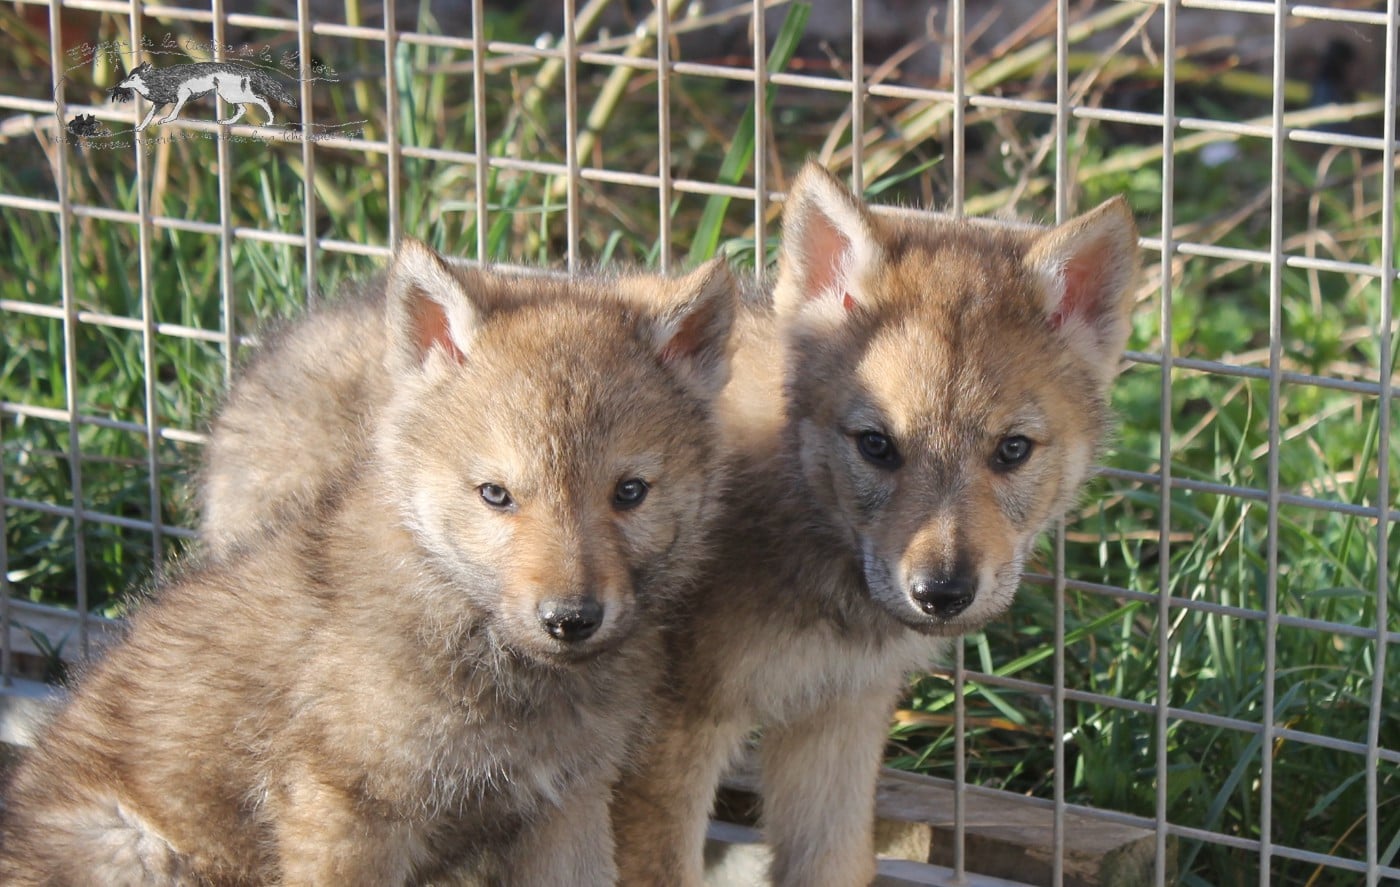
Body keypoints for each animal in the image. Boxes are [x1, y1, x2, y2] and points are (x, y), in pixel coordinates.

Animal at [0, 241, 738, 885]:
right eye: (496, 494)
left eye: (630, 492)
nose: (571, 618)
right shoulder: (347, 811)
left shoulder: (569, 803)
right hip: (134, 847)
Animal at [113, 61, 298, 130]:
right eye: (128, 75)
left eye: (132, 78)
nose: (119, 85)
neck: (156, 80)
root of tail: (247, 70)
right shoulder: (158, 103)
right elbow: (148, 116)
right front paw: (140, 127)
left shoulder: (183, 94)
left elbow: (175, 111)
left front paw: (167, 119)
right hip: (229, 95)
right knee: (243, 110)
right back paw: (226, 122)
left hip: (231, 95)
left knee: (261, 100)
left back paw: (270, 121)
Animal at [609, 162, 1141, 886]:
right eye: (877, 445)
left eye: (1012, 449)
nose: (942, 594)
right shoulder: (666, 753)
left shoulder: (836, 721)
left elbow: (831, 861)